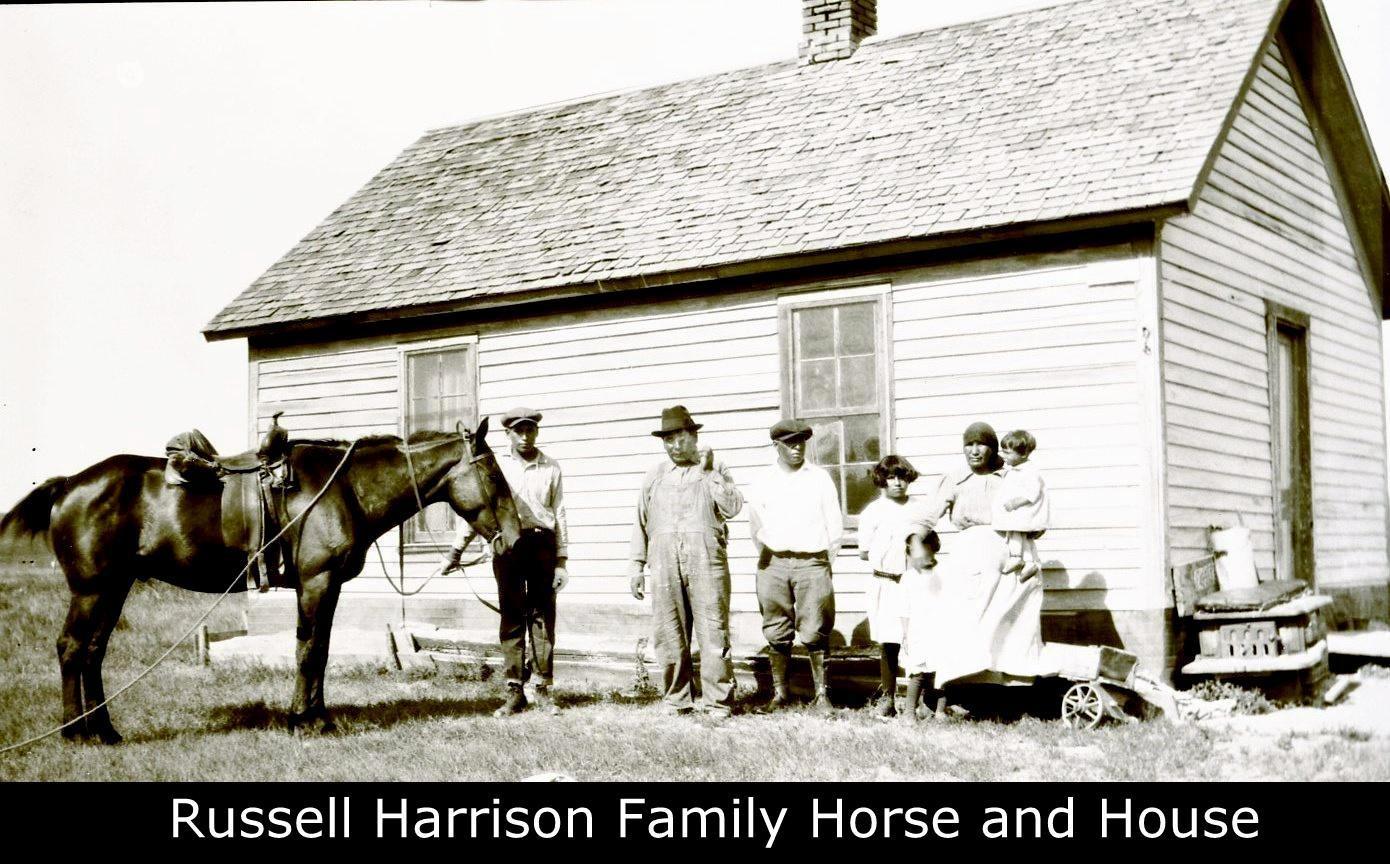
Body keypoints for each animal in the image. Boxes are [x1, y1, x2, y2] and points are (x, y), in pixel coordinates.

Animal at [1, 419, 522, 744]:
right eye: (494, 473)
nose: (517, 536)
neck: (343, 488)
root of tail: (68, 484)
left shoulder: (325, 586)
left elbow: (319, 650)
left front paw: (317, 717)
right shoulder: (317, 582)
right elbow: (309, 650)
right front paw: (304, 721)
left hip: (114, 588)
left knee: (92, 651)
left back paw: (105, 731)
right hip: (92, 589)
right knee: (72, 648)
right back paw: (75, 732)